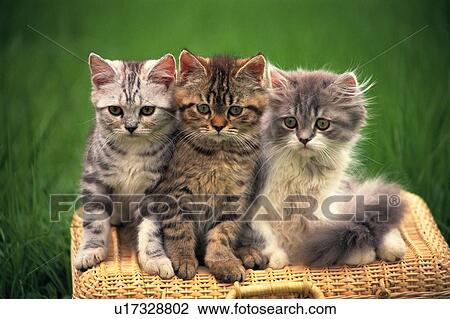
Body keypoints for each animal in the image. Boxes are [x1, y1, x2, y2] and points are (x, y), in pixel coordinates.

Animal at [74, 51, 178, 278]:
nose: (130, 127)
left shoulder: (157, 187)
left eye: (147, 110)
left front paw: (155, 258)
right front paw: (90, 251)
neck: (132, 150)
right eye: (115, 110)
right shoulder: (94, 178)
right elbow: (94, 221)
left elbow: (151, 228)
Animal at [141, 50, 268, 282]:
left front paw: (223, 261)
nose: (218, 126)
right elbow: (179, 230)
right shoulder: (174, 193)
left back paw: (249, 253)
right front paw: (183, 259)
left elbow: (223, 234)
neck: (219, 155)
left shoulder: (235, 199)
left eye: (235, 110)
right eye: (203, 108)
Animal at [248, 67, 406, 268]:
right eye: (290, 122)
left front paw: (356, 252)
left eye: (322, 123)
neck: (306, 171)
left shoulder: (328, 204)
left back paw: (393, 248)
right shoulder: (256, 207)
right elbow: (266, 237)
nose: (304, 139)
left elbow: (335, 231)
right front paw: (278, 259)